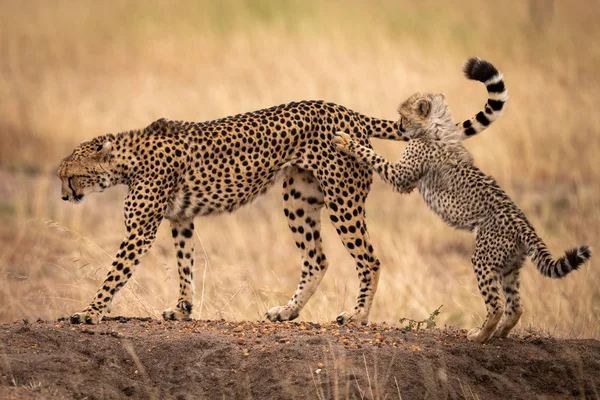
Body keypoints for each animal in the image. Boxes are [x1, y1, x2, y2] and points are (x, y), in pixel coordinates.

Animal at [57, 100, 482, 324]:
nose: (63, 197)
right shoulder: (181, 219)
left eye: (71, 176)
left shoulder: (140, 230)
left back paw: (357, 316)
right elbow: (184, 264)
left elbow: (114, 274)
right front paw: (182, 309)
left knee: (369, 260)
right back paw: (288, 311)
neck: (126, 160)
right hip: (297, 198)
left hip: (342, 201)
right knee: (317, 259)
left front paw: (89, 312)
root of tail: (345, 109)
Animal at [336, 58, 592, 340]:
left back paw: (480, 335)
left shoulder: (401, 176)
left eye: (404, 116)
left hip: (483, 258)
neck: (435, 128)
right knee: (516, 305)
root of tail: (524, 223)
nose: (400, 127)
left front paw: (347, 142)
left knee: (497, 304)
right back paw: (499, 334)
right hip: (510, 266)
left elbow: (374, 157)